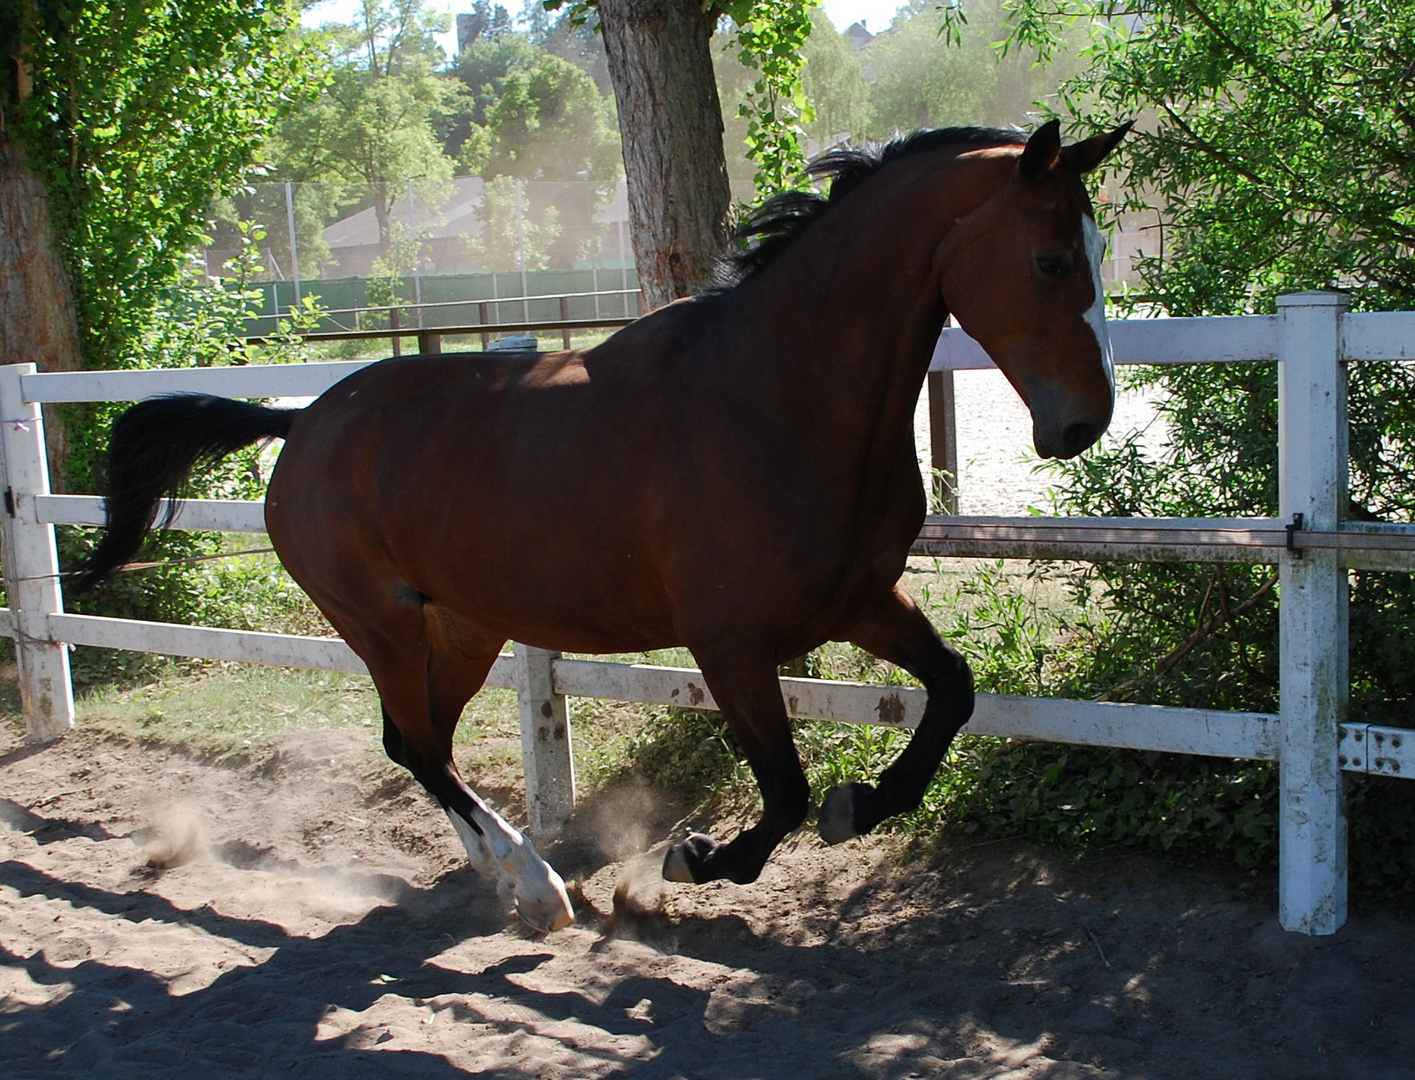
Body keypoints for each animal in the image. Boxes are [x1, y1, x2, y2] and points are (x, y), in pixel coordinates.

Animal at [74, 116, 1126, 928]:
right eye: (1048, 260)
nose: (1081, 423)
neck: (773, 399)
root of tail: (303, 423)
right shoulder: (728, 642)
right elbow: (782, 787)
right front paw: (695, 859)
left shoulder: (859, 599)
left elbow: (951, 690)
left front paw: (863, 804)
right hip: (381, 622)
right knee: (418, 747)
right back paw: (538, 890)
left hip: (463, 624)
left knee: (421, 744)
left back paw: (510, 879)